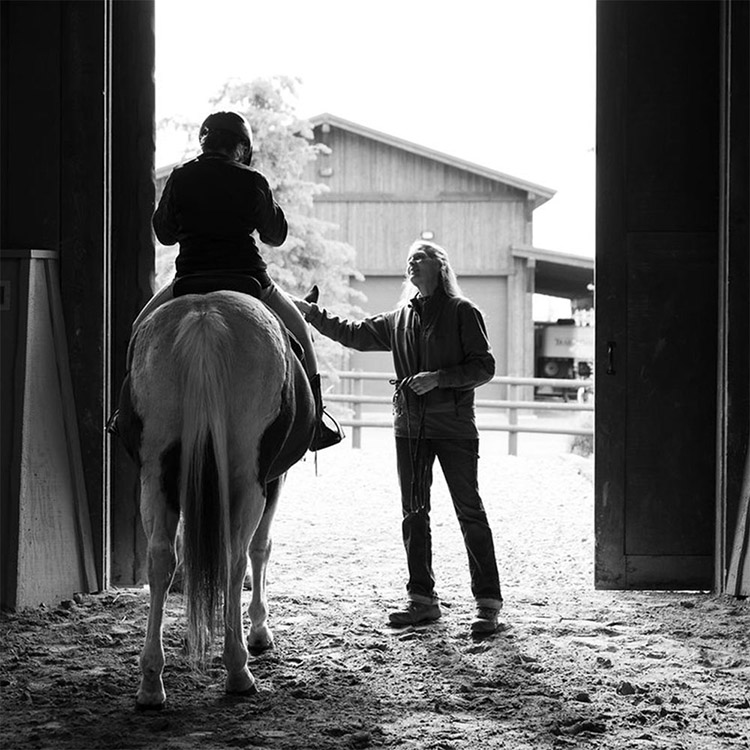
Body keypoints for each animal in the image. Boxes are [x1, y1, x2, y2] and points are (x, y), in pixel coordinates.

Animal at [122, 290, 314, 712]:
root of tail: (205, 318)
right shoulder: (274, 478)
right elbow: (261, 547)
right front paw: (258, 629)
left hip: (155, 472)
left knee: (161, 558)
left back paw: (151, 681)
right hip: (247, 476)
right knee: (235, 557)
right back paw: (238, 669)